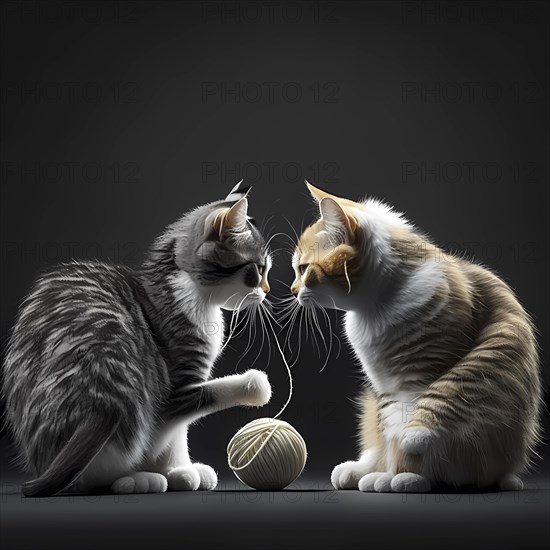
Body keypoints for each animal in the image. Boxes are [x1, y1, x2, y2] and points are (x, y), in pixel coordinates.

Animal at [2, 184, 274, 500]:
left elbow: (176, 430)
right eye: (258, 269)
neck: (188, 291)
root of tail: (100, 397)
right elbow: (182, 420)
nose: (267, 290)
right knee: (100, 473)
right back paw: (136, 479)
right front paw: (179, 469)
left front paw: (177, 469)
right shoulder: (178, 386)